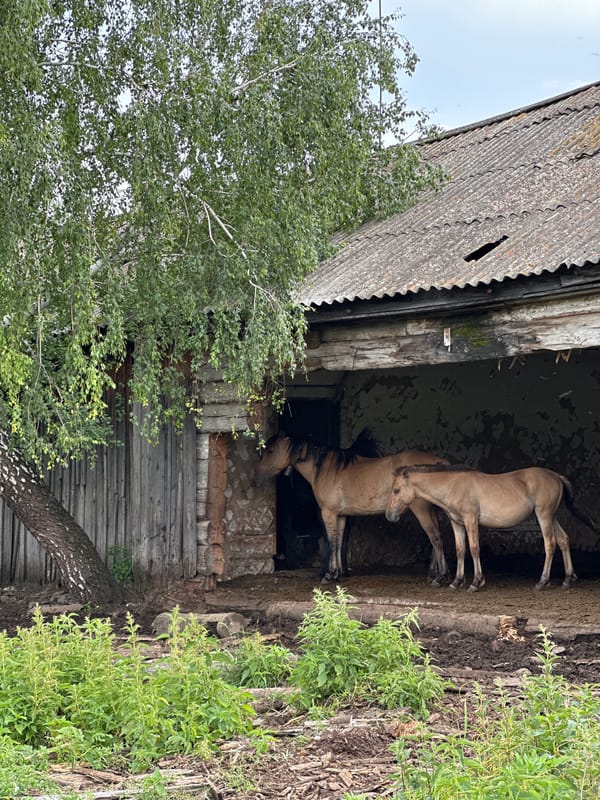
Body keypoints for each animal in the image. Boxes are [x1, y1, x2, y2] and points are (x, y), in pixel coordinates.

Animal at [257, 429, 451, 584]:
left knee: (435, 537)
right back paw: (434, 573)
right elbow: (340, 541)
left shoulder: (328, 513)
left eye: (271, 450)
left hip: (421, 509)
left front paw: (329, 575)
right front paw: (339, 573)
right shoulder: (341, 515)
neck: (326, 470)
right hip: (430, 509)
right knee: (436, 536)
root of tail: (437, 461)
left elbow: (332, 542)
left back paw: (440, 576)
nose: (259, 474)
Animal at [385, 464, 600, 592]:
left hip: (544, 516)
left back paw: (542, 581)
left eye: (396, 490)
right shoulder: (457, 523)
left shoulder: (471, 520)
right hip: (551, 516)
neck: (452, 486)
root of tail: (556, 475)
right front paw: (457, 581)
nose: (389, 515)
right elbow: (460, 550)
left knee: (550, 544)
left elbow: (474, 549)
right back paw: (567, 579)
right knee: (563, 540)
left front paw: (476, 582)